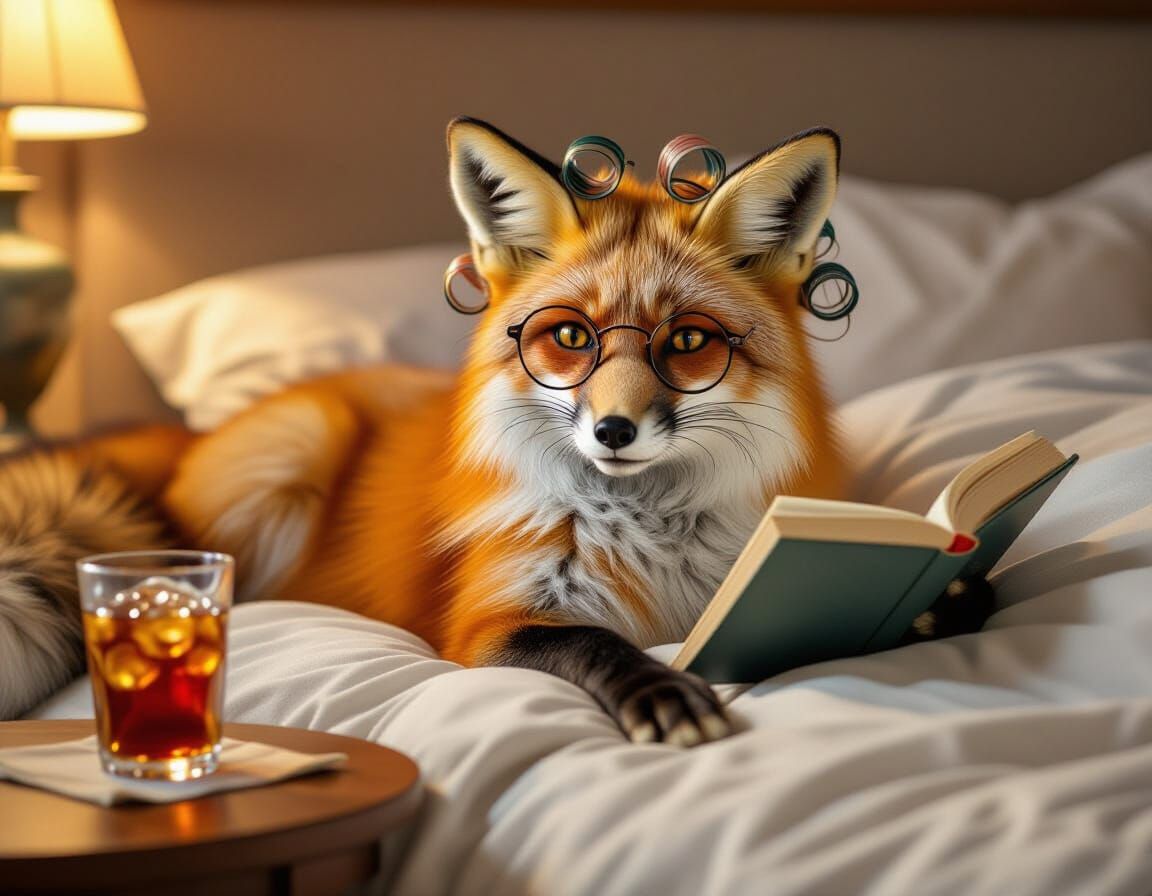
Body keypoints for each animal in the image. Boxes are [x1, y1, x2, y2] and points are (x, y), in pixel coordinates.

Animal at [0, 118, 990, 742]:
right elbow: (592, 640)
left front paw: (935, 597)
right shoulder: (488, 628)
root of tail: (182, 448)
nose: (615, 430)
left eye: (688, 344)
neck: (655, 543)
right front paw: (665, 689)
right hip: (288, 460)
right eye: (570, 340)